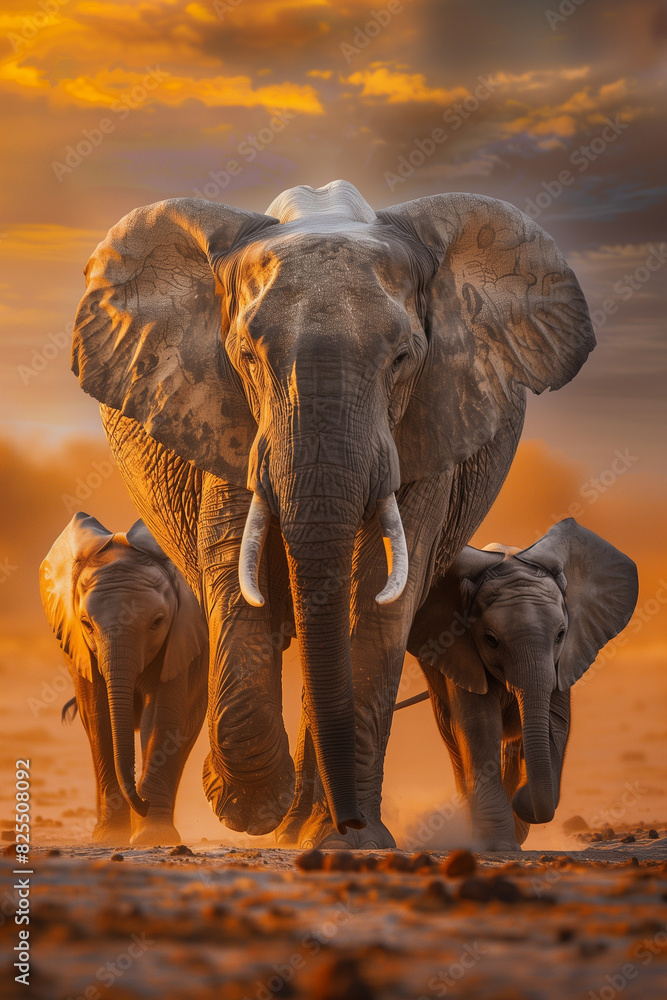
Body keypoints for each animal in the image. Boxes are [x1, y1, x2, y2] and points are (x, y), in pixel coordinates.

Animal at [40, 512, 208, 846]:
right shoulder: (80, 651)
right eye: (86, 624)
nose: (141, 802)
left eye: (157, 622)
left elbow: (162, 717)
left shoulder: (181, 637)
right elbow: (99, 717)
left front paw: (153, 836)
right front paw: (110, 837)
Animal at [70, 178, 595, 848]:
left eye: (403, 359)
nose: (348, 824)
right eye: (247, 356)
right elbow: (235, 579)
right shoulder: (221, 415)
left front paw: (353, 840)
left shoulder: (430, 419)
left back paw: (312, 828)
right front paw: (249, 805)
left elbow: (376, 595)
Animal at [406, 518, 638, 850]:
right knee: (453, 738)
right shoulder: (460, 653)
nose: (522, 801)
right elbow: (479, 726)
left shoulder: (563, 661)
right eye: (491, 640)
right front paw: (499, 845)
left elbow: (558, 722)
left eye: (561, 634)